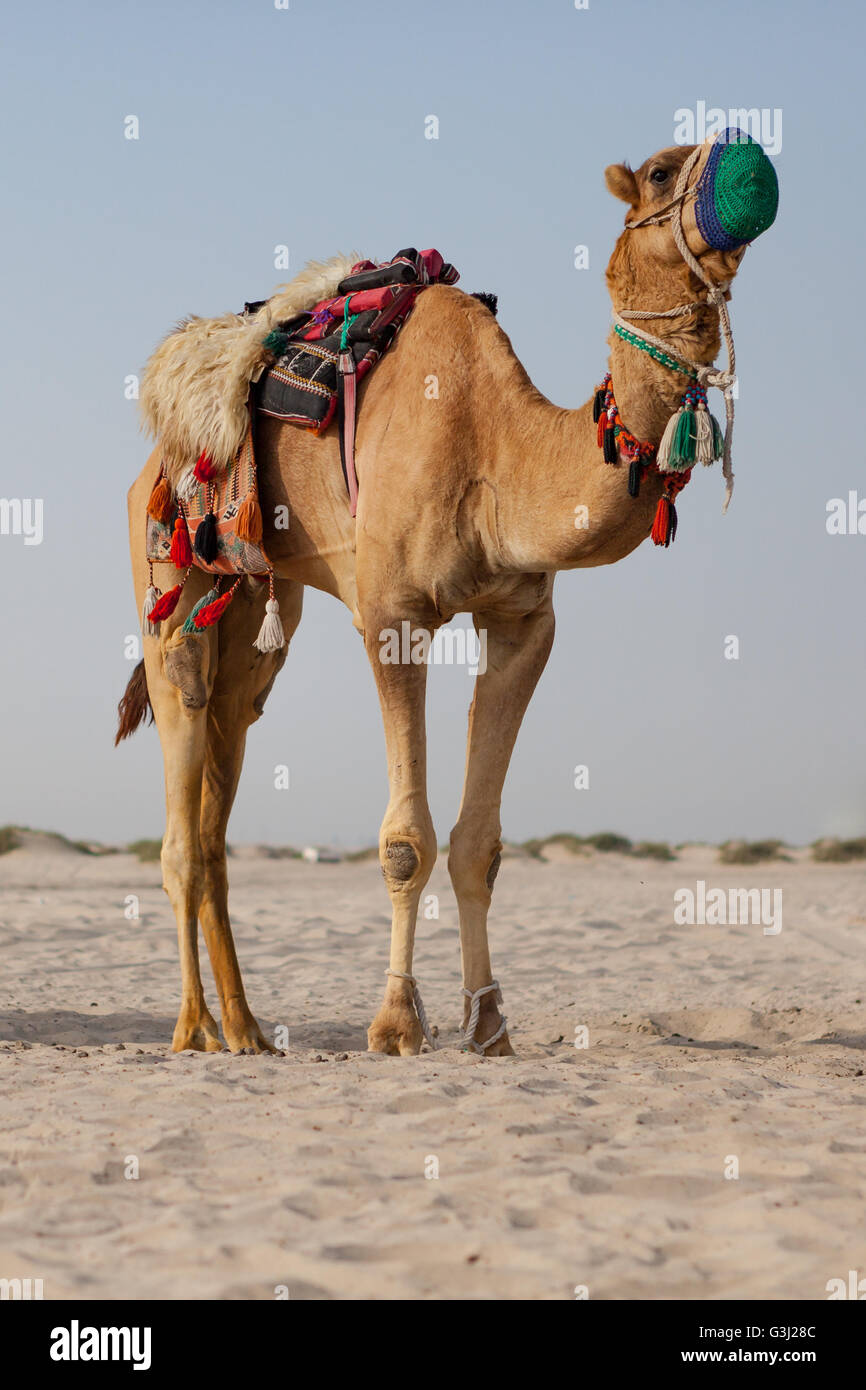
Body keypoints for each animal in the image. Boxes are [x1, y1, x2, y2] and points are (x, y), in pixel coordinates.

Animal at [118, 138, 778, 1050]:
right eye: (657, 172)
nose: (751, 164)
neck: (497, 450)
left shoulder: (523, 620)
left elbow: (479, 844)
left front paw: (490, 1023)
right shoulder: (393, 614)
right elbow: (406, 840)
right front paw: (398, 1022)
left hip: (253, 605)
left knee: (230, 733)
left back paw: (247, 1030)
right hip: (168, 565)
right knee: (181, 752)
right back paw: (192, 1029)